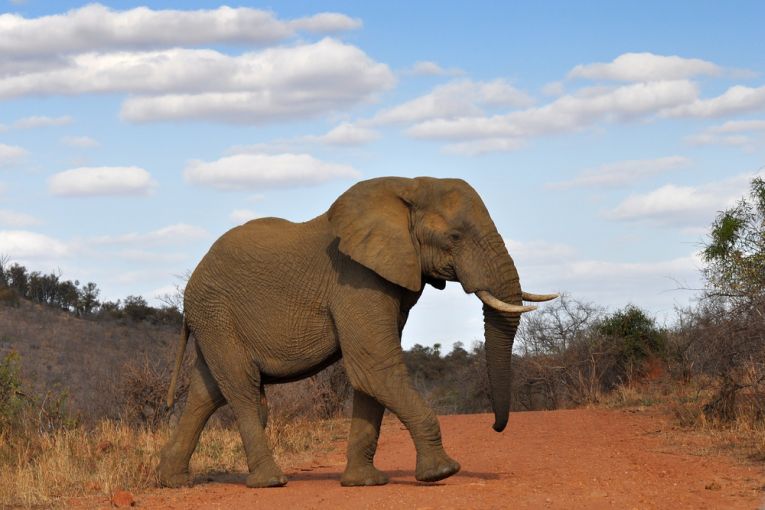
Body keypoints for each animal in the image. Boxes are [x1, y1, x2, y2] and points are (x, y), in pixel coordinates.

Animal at [158, 176, 557, 488]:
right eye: (455, 237)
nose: (495, 427)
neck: (407, 187)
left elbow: (370, 376)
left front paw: (365, 482)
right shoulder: (355, 279)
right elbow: (374, 367)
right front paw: (442, 472)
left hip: (213, 321)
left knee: (206, 392)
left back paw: (172, 481)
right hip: (217, 315)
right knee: (241, 388)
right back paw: (270, 482)